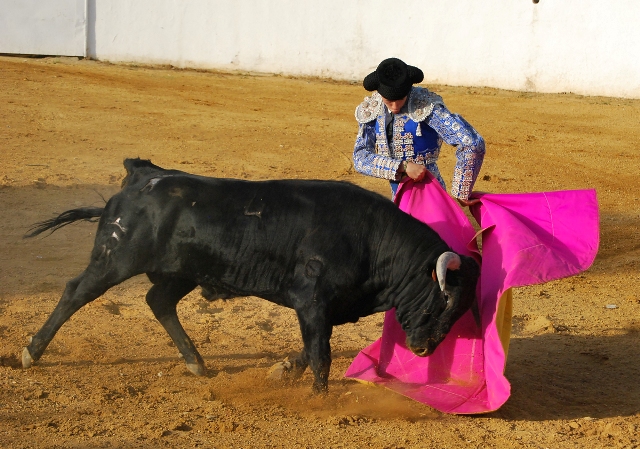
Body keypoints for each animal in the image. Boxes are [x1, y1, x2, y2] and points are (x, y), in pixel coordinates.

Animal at [22, 158, 478, 392]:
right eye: (442, 300)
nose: (423, 350)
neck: (373, 240)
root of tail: (141, 176)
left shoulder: (323, 310)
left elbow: (310, 348)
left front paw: (285, 370)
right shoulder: (312, 301)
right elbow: (321, 354)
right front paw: (321, 399)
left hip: (181, 271)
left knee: (159, 301)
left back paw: (197, 364)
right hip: (116, 258)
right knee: (76, 292)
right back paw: (31, 352)